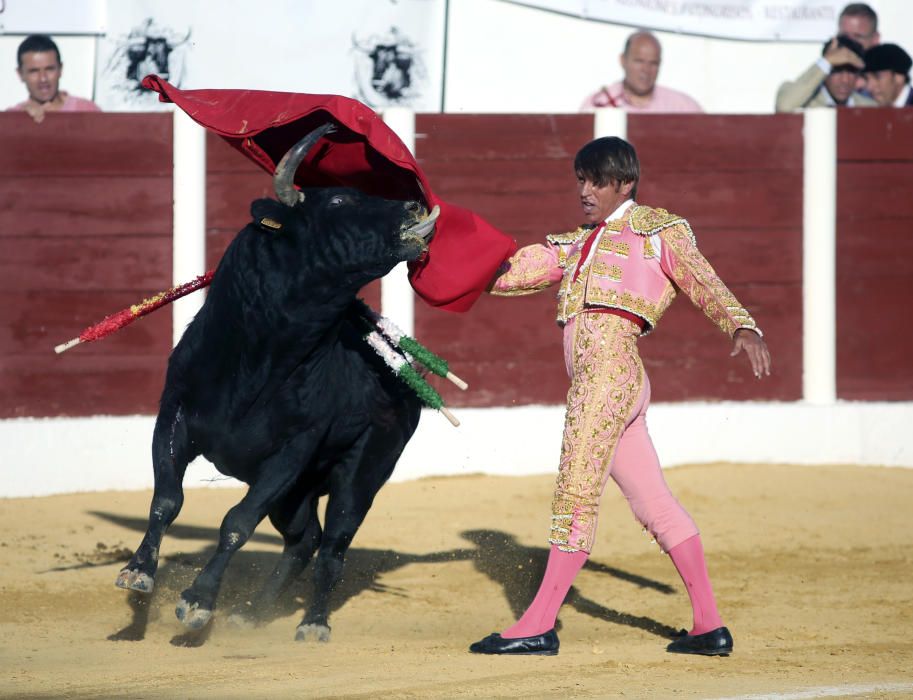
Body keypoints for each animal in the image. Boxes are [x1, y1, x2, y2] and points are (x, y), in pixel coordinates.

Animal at [114, 124, 442, 640]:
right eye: (338, 200)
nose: (413, 206)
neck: (260, 361)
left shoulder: (293, 451)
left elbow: (237, 522)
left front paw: (198, 601)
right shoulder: (174, 415)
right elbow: (167, 499)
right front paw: (138, 573)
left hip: (363, 473)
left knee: (333, 547)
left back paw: (313, 623)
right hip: (296, 495)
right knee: (303, 540)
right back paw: (252, 614)